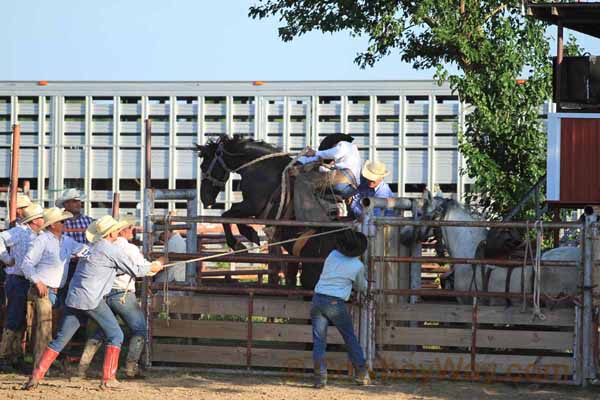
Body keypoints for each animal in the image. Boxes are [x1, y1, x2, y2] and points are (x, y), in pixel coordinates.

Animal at [198, 134, 346, 288]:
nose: (204, 198)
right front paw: (250, 234)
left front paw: (239, 242)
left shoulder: (253, 205)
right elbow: (234, 218)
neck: (260, 168)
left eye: (203, 166)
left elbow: (227, 215)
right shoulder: (255, 210)